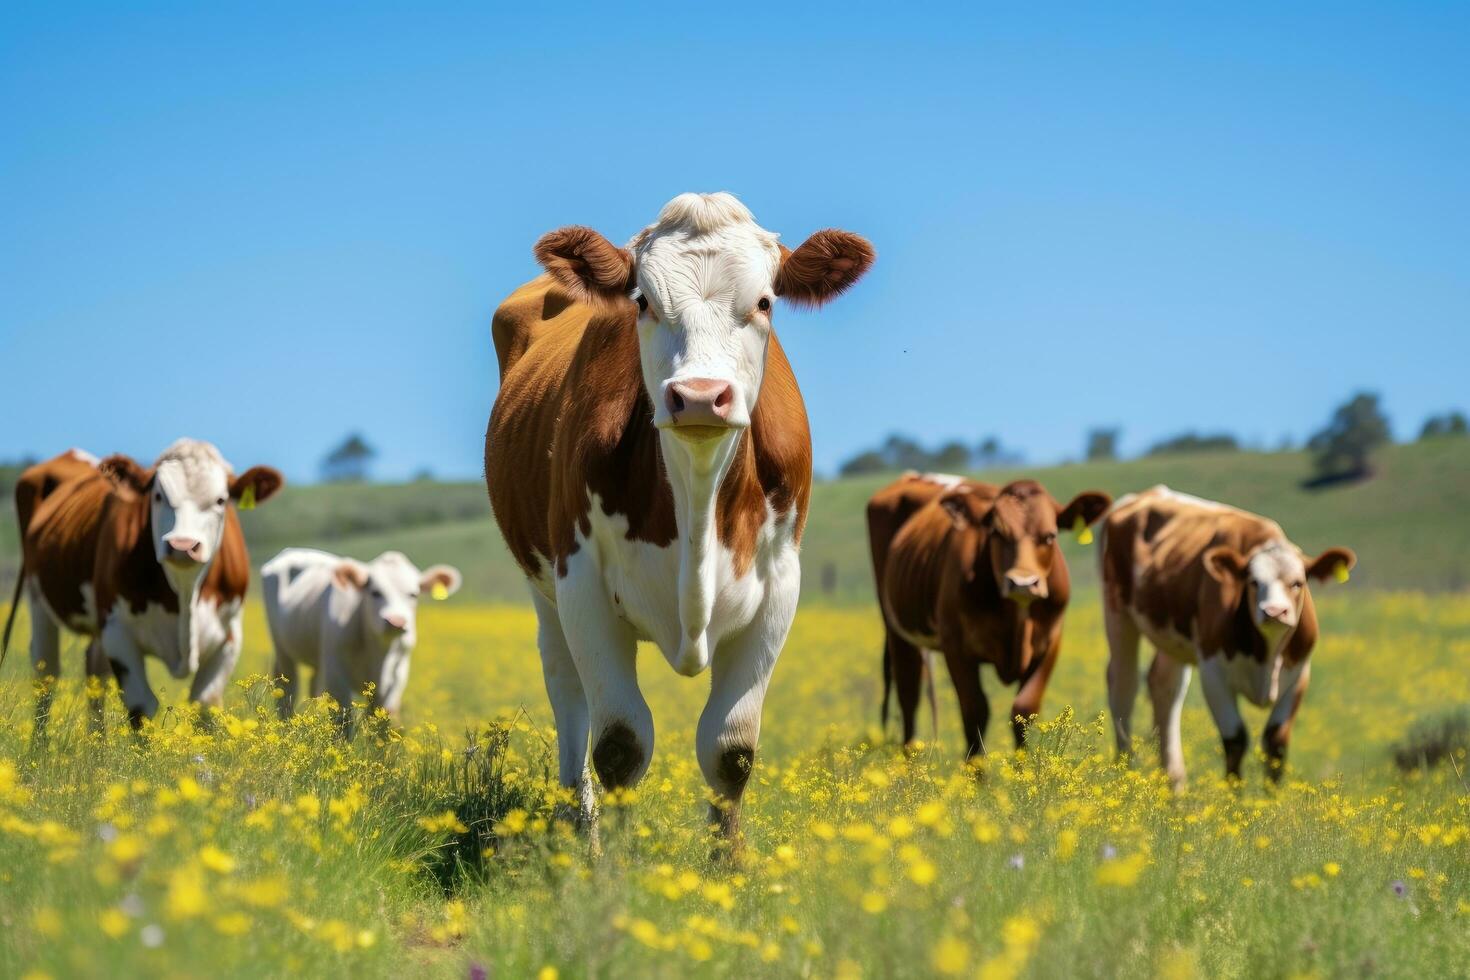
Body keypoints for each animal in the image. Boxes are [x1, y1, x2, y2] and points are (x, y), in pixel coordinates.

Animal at [2, 440, 280, 731]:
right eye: (158, 496)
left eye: (220, 500)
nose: (182, 544)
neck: (185, 593)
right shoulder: (116, 630)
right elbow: (141, 706)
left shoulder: (229, 635)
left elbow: (205, 706)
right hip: (37, 595)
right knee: (46, 672)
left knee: (95, 670)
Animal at [482, 191, 870, 846]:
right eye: (643, 300)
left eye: (764, 301)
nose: (699, 396)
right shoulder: (580, 582)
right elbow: (619, 745)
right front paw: (610, 862)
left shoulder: (779, 588)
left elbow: (730, 749)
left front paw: (728, 860)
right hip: (545, 590)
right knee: (568, 696)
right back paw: (578, 824)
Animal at [864, 473, 1105, 758]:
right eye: (997, 533)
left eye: (1049, 536)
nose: (1023, 583)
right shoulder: (956, 646)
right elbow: (975, 711)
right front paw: (976, 770)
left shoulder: (1051, 642)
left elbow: (1024, 708)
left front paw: (1022, 768)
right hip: (897, 630)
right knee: (908, 694)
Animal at [1099, 487, 1358, 787]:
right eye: (1254, 582)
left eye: (1298, 583)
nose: (1274, 611)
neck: (1266, 655)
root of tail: (1149, 493)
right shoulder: (1213, 671)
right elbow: (1235, 739)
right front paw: (1234, 797)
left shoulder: (1299, 672)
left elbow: (1276, 743)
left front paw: (1272, 797)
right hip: (1117, 614)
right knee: (1124, 687)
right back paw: (1124, 774)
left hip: (1171, 639)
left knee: (1165, 687)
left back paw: (1175, 784)